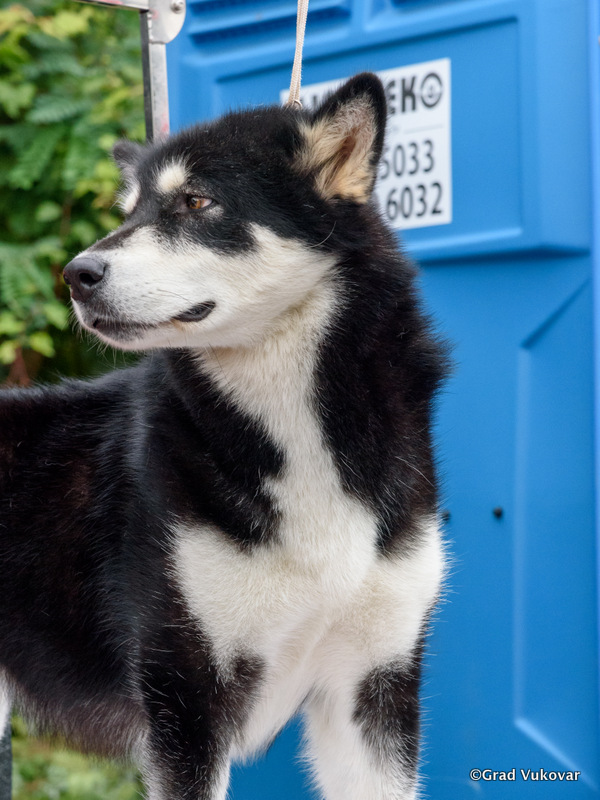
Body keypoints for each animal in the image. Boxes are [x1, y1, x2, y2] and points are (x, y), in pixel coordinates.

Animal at [0, 73, 449, 799]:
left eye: (196, 201)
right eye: (130, 212)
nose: (77, 274)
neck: (292, 435)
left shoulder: (373, 688)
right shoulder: (185, 700)